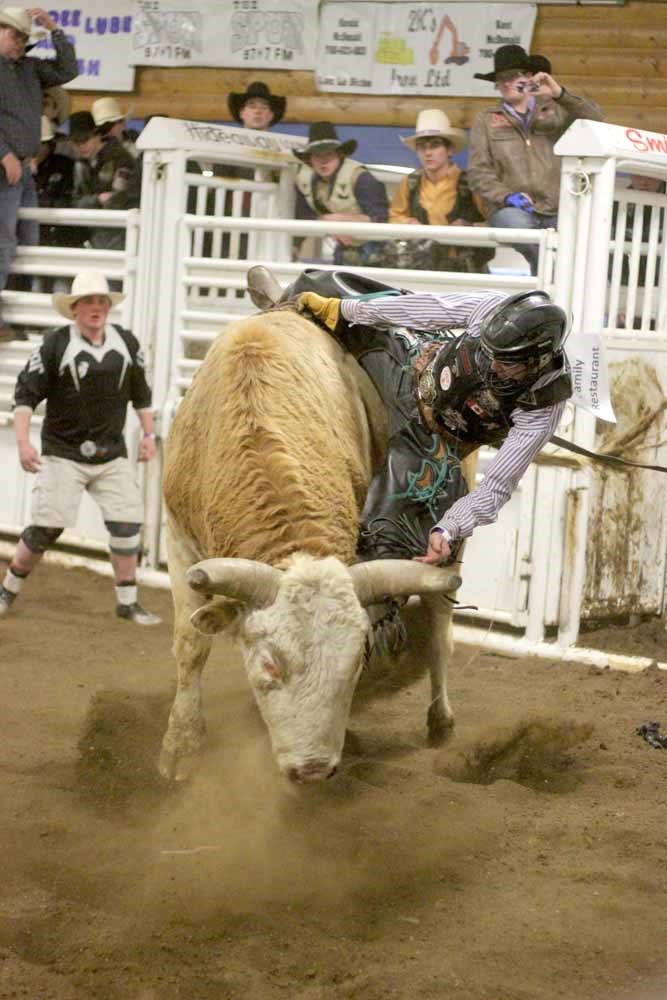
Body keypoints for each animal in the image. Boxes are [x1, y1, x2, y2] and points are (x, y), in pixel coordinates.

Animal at [161, 308, 462, 784]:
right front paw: (182, 747)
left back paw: (441, 720)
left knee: (438, 630)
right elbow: (191, 644)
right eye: (269, 664)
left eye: (354, 665)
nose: (314, 769)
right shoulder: (178, 539)